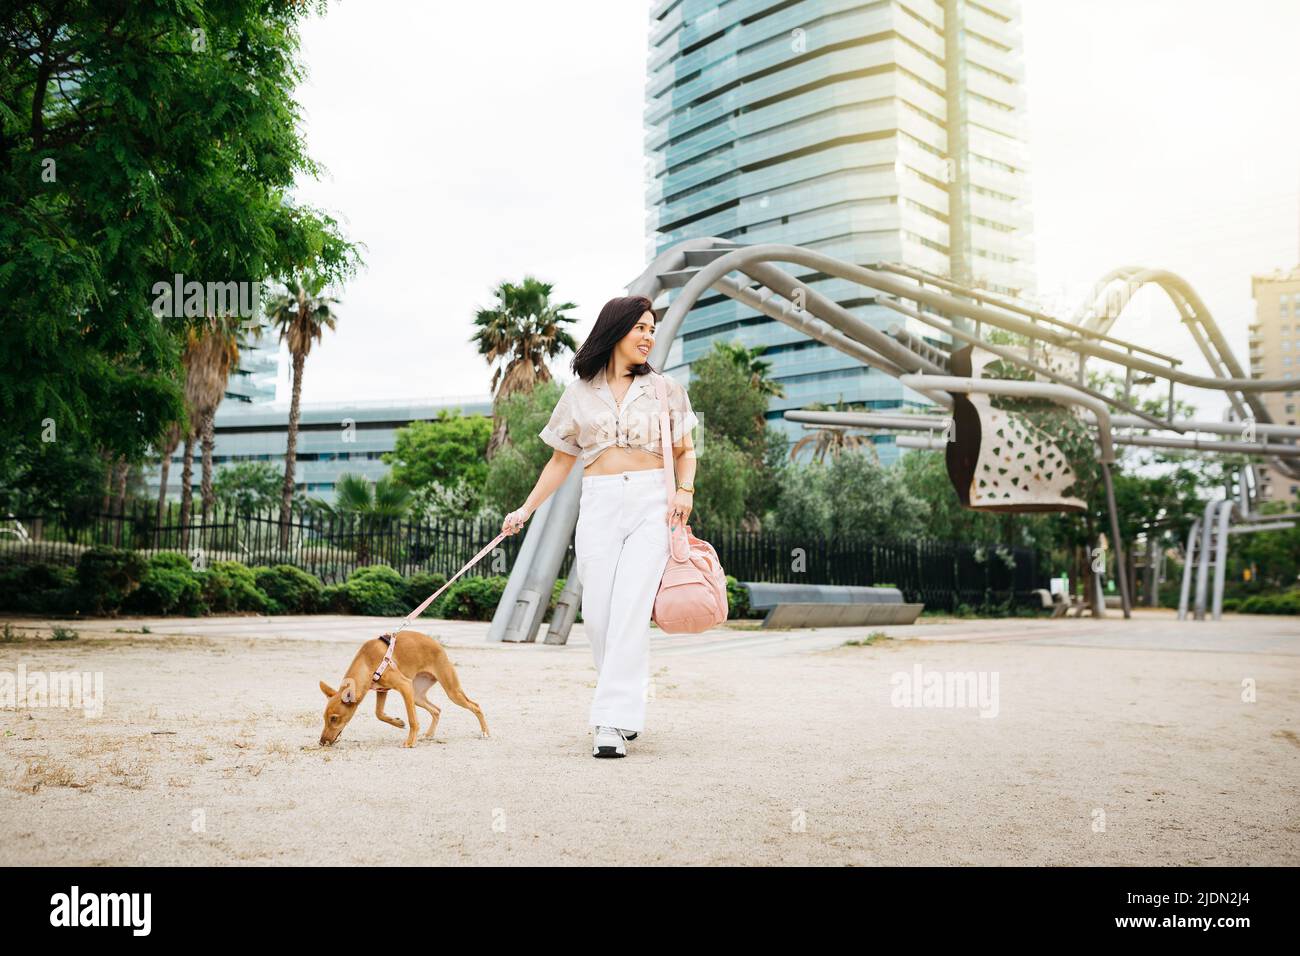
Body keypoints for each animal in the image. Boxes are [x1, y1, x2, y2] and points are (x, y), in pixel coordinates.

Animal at [318, 632, 488, 749]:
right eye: (324, 718)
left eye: (334, 718)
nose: (321, 742)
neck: (366, 662)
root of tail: (438, 646)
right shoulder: (382, 690)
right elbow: (379, 713)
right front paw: (397, 722)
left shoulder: (404, 686)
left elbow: (413, 720)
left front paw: (410, 741)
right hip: (417, 696)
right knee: (436, 710)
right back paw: (429, 734)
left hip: (451, 691)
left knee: (475, 706)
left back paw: (485, 732)